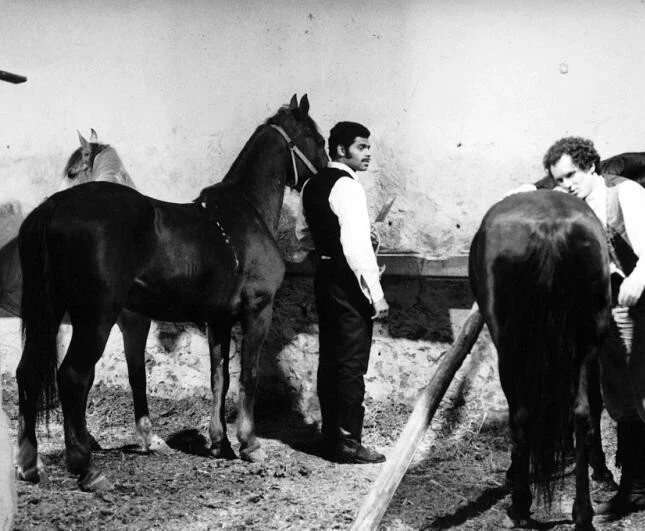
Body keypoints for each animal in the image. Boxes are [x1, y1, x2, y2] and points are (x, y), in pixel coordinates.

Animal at [15, 94, 328, 492]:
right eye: (317, 140)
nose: (329, 173)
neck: (246, 212)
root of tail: (54, 205)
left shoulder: (218, 320)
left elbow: (219, 378)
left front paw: (219, 443)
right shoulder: (258, 311)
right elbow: (249, 375)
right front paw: (249, 444)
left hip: (49, 311)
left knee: (27, 373)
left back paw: (29, 464)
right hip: (95, 317)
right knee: (73, 376)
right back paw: (86, 467)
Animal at [469, 190, 611, 530]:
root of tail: (551, 228)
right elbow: (593, 404)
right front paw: (600, 469)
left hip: (511, 350)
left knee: (521, 413)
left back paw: (521, 505)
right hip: (587, 342)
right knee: (582, 412)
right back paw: (582, 512)